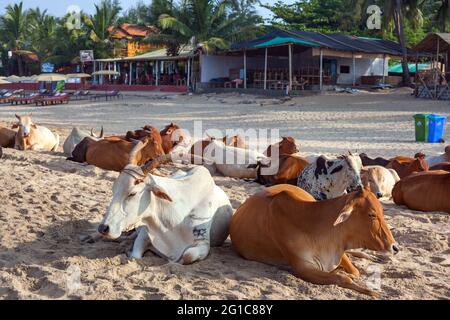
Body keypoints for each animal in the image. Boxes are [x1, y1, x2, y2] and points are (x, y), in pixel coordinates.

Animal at [232, 185, 398, 298]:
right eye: (371, 214)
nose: (395, 247)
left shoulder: (339, 251)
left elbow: (354, 271)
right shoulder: (302, 268)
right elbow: (342, 277)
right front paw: (374, 293)